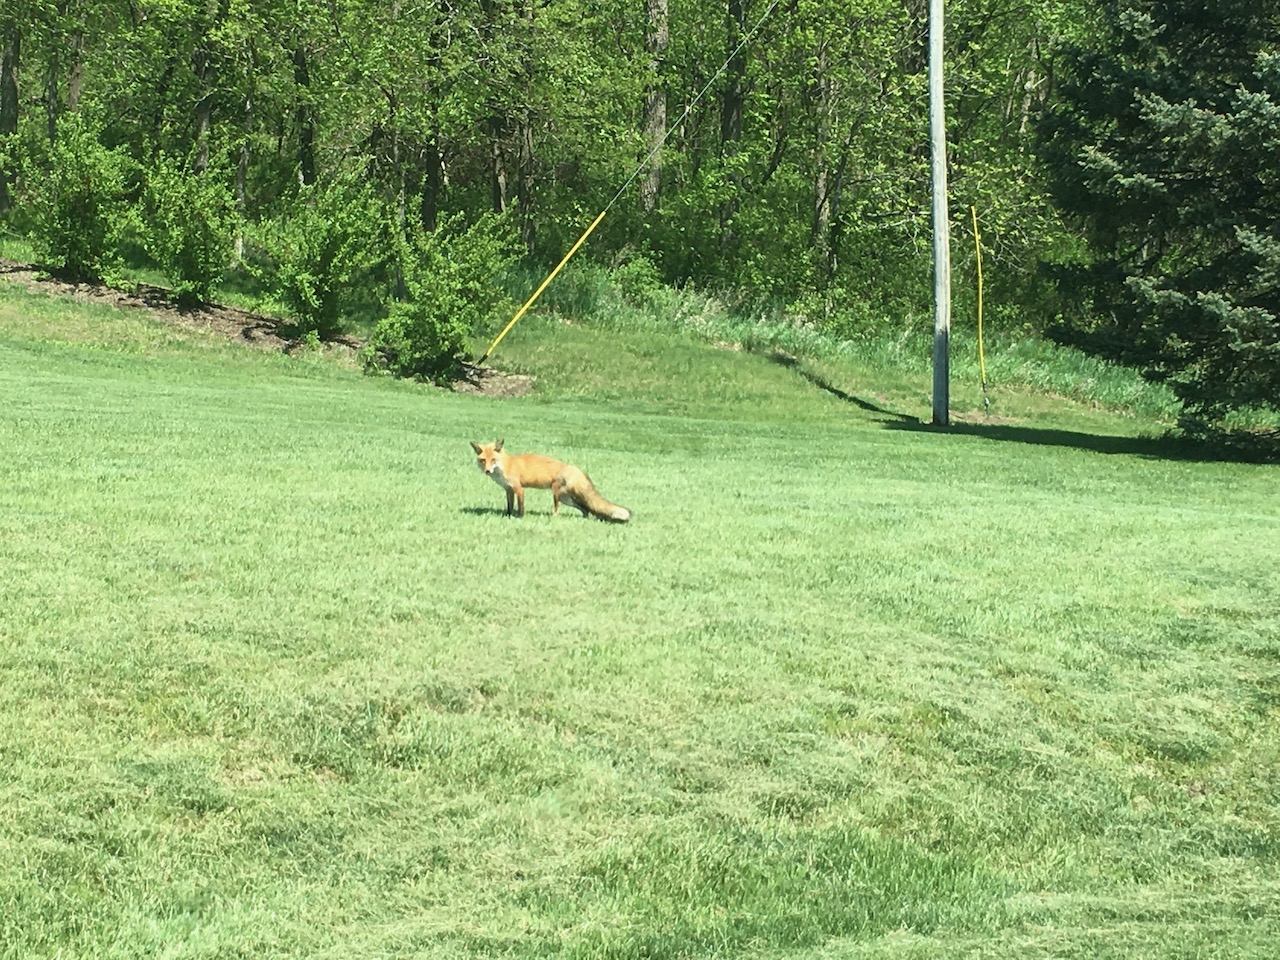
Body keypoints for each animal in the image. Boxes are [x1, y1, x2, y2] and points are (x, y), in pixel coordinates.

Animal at [471, 440, 629, 522]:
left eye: (493, 460)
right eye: (483, 460)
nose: (487, 471)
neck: (507, 464)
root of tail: (575, 469)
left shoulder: (519, 489)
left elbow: (521, 507)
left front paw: (520, 518)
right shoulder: (508, 490)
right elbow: (509, 506)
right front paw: (508, 516)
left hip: (556, 494)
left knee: (559, 510)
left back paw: (554, 517)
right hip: (567, 499)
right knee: (585, 509)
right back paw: (584, 518)